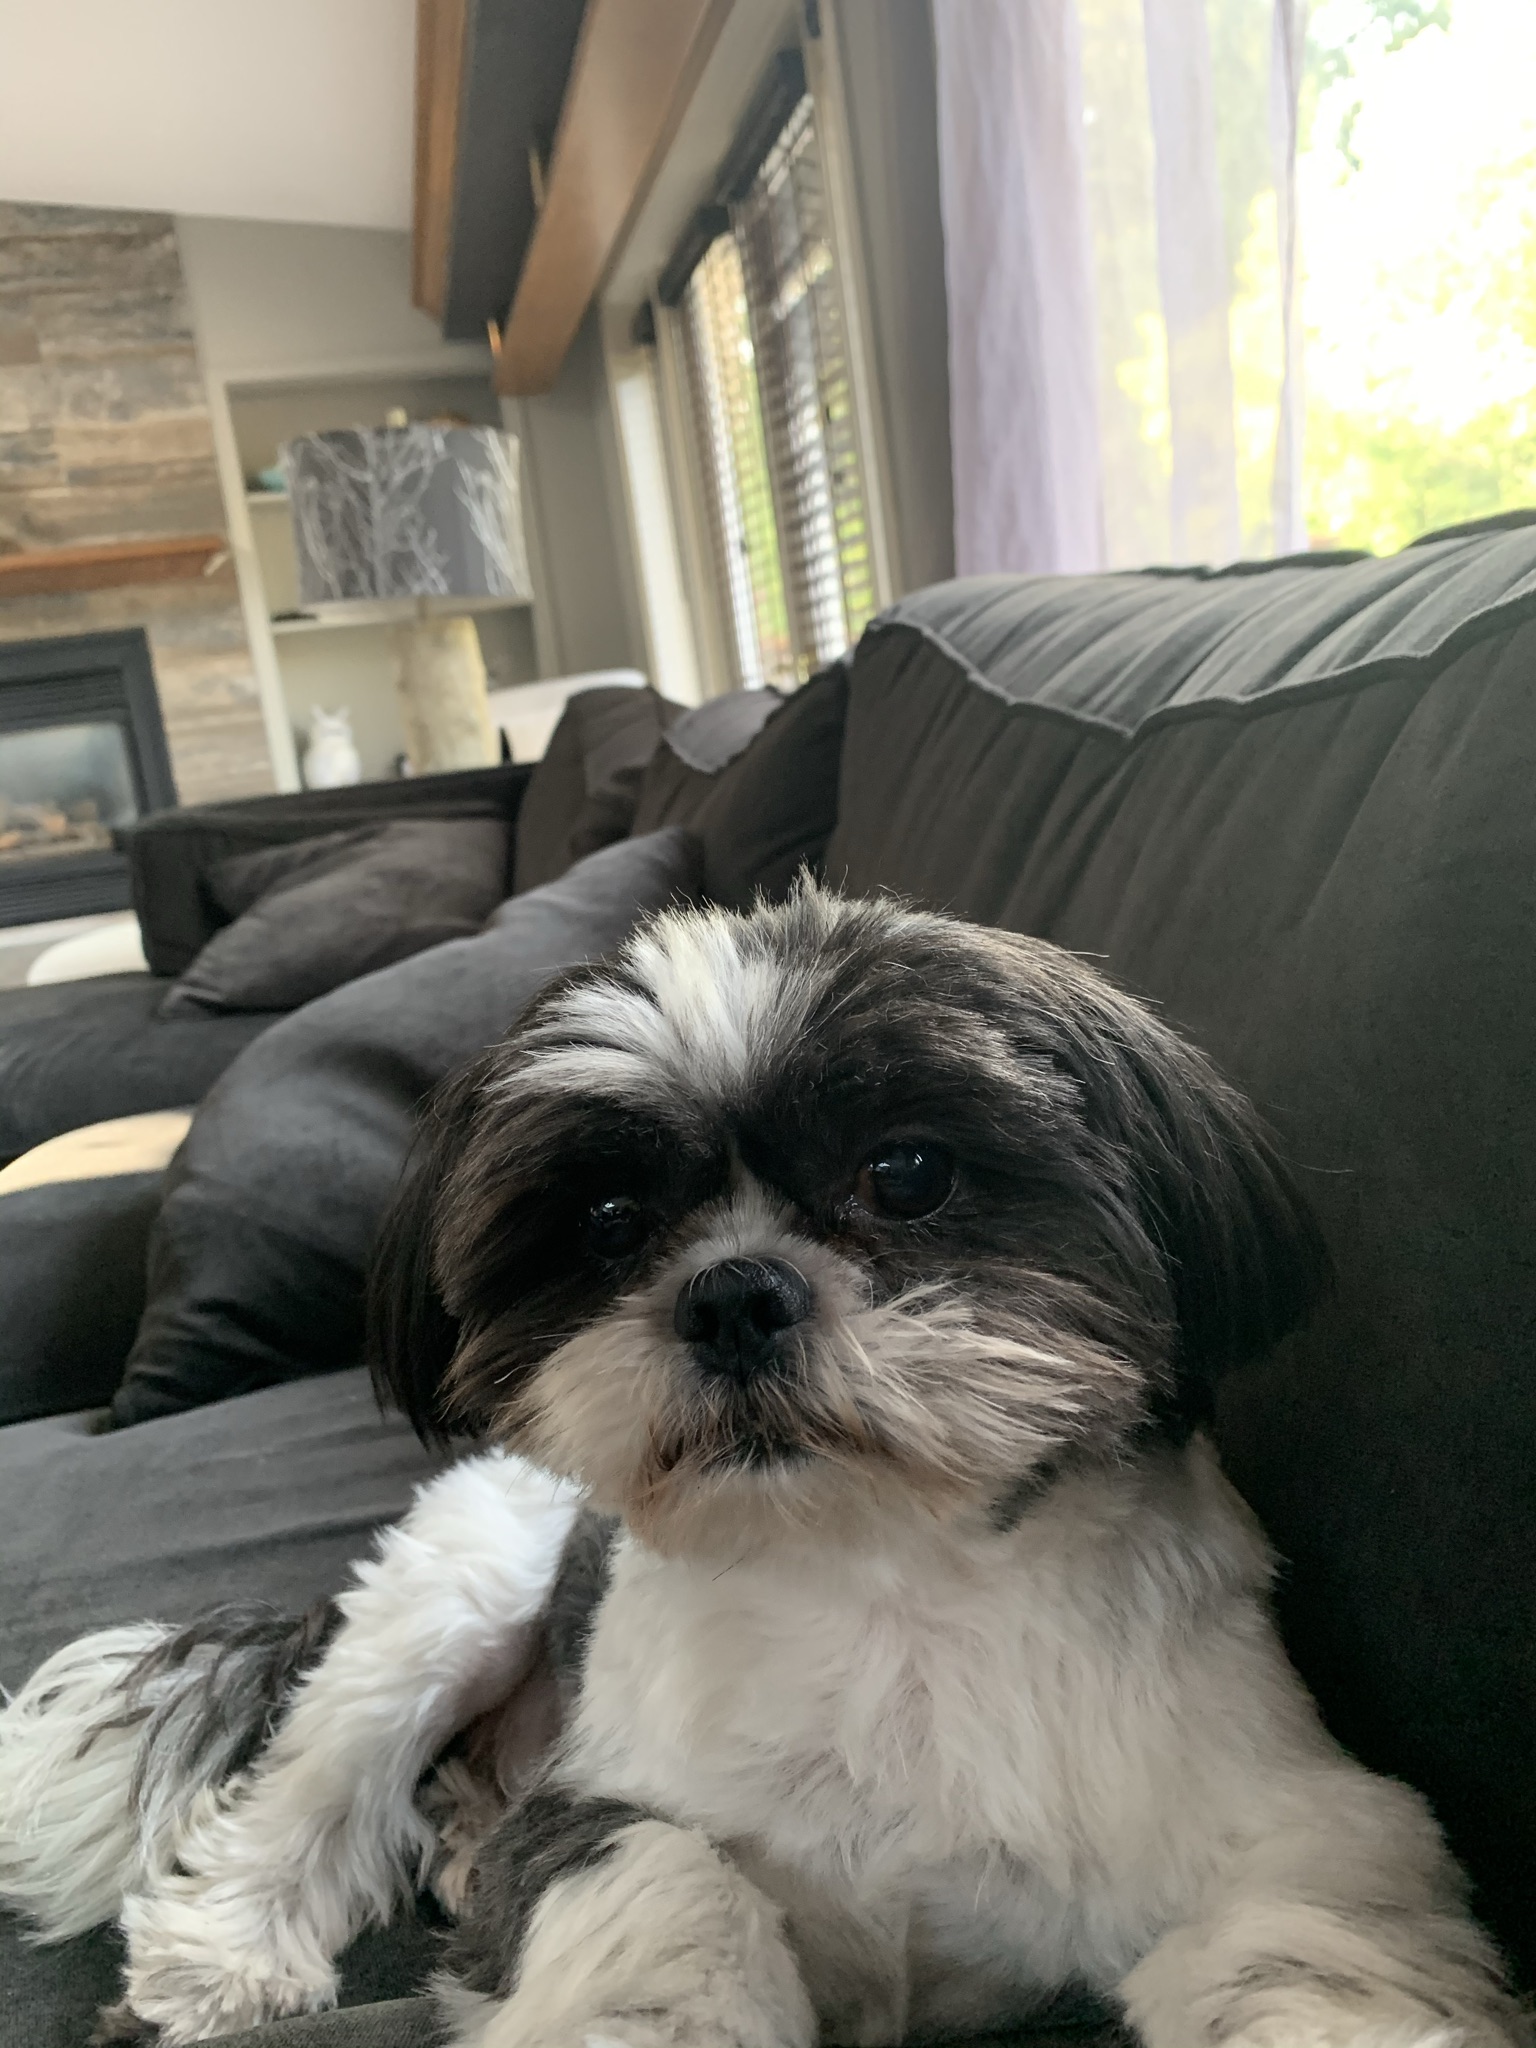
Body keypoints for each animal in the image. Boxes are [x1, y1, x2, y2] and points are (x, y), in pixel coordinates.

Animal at [0, 885, 1525, 2048]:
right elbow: (667, 1873)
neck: (878, 1581)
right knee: (319, 1781)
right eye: (610, 1222)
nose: (734, 1292)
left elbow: (1311, 1946)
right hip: (461, 1586)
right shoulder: (599, 1799)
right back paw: (227, 1954)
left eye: (907, 1173)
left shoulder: (1312, 1825)